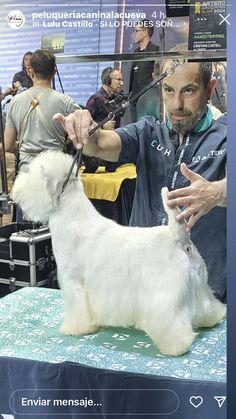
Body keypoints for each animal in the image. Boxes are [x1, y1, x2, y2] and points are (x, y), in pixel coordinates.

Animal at [10, 151, 225, 358]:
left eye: (31, 173)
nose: (16, 186)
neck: (71, 217)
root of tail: (178, 238)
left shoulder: (74, 283)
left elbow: (77, 310)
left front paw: (74, 329)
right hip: (199, 285)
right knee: (207, 306)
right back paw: (213, 318)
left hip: (164, 295)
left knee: (172, 322)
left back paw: (175, 347)